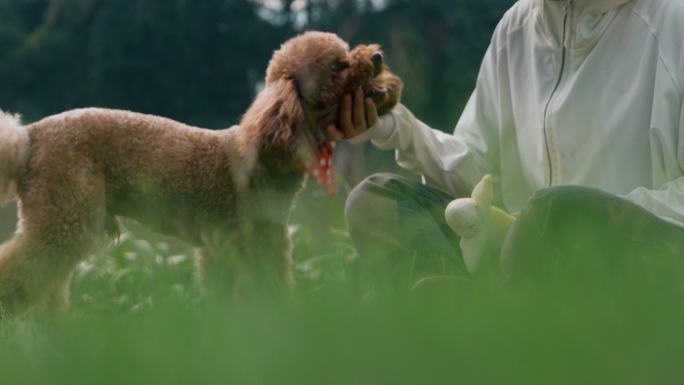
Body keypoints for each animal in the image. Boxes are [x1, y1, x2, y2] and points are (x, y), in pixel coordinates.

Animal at [0, 30, 400, 316]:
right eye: (338, 66)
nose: (377, 56)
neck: (269, 150)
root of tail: (27, 138)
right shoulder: (247, 242)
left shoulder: (231, 248)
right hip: (65, 216)